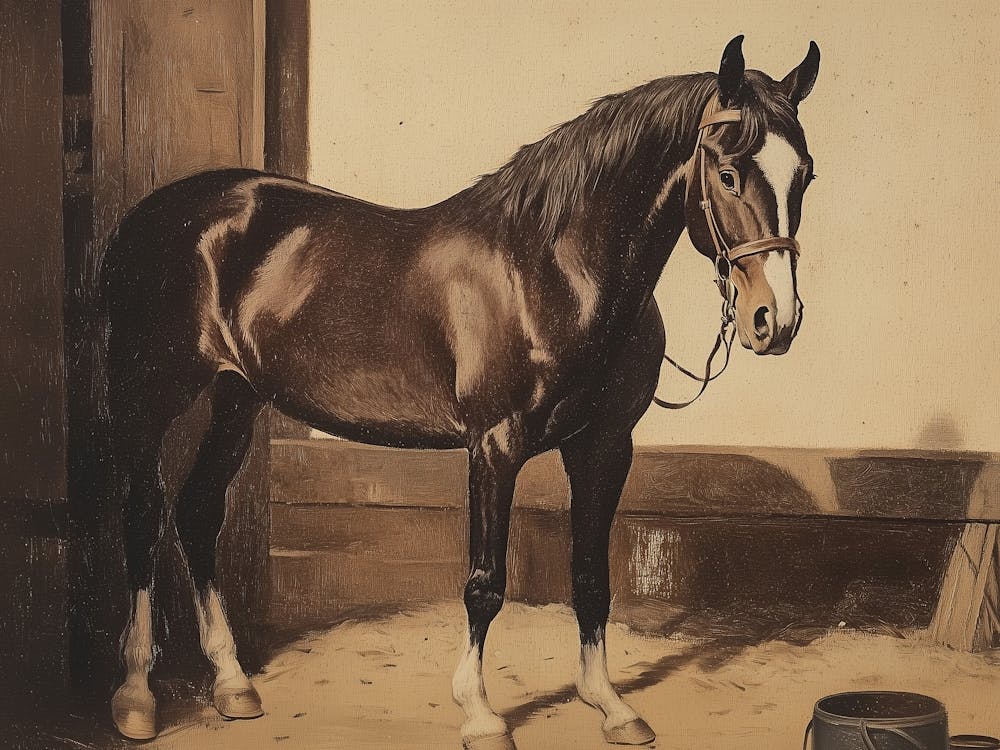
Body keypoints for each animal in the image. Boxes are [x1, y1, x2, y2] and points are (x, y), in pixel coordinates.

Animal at [102, 35, 819, 748]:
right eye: (727, 173)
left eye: (805, 174)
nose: (774, 321)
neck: (551, 270)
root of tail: (153, 216)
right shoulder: (495, 447)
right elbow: (485, 584)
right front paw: (480, 713)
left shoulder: (604, 446)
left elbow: (591, 577)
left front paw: (610, 705)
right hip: (150, 396)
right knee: (142, 515)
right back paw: (136, 696)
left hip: (237, 398)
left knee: (198, 511)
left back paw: (232, 686)